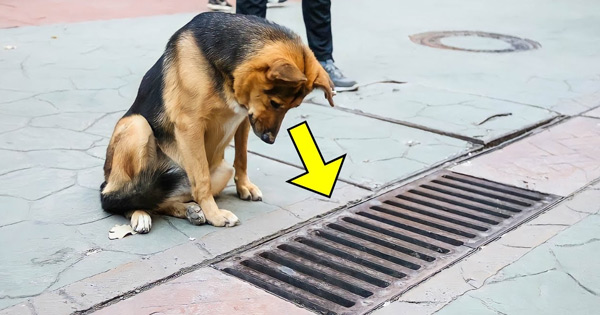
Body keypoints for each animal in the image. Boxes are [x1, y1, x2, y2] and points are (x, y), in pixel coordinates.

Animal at [101, 12, 336, 233]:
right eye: (275, 103)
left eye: (292, 107)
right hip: (137, 126)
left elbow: (242, 158)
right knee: (120, 199)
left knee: (162, 201)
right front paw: (214, 215)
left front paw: (244, 187)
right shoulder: (190, 125)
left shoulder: (244, 119)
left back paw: (190, 210)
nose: (269, 140)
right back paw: (141, 213)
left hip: (221, 171)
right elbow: (202, 179)